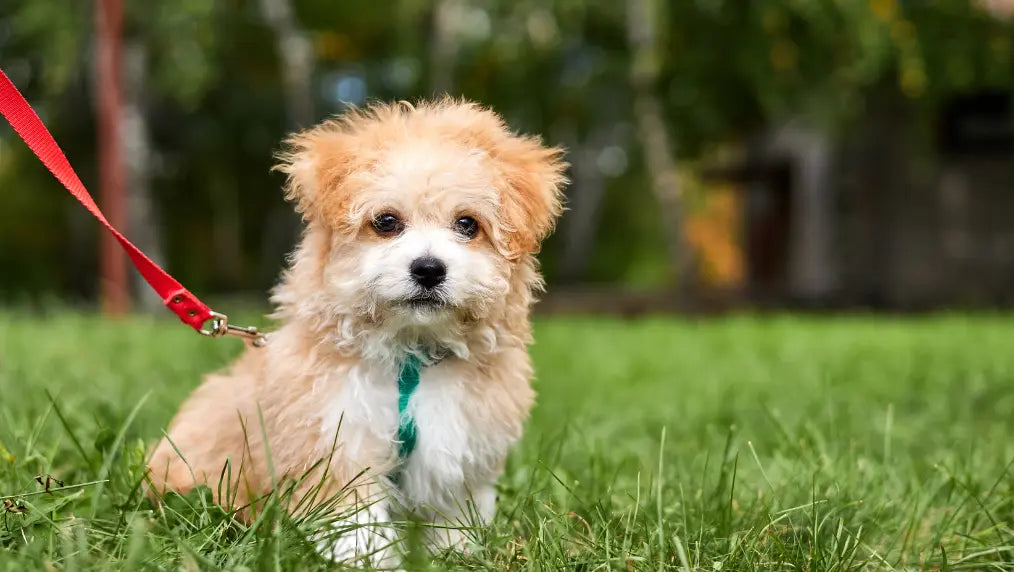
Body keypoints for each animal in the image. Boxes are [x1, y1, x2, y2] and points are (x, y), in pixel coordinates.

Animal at [147, 99, 567, 563]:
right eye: (386, 221)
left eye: (467, 225)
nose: (428, 269)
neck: (410, 354)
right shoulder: (335, 441)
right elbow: (355, 520)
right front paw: (366, 560)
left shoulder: (460, 448)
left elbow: (453, 511)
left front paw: (454, 554)